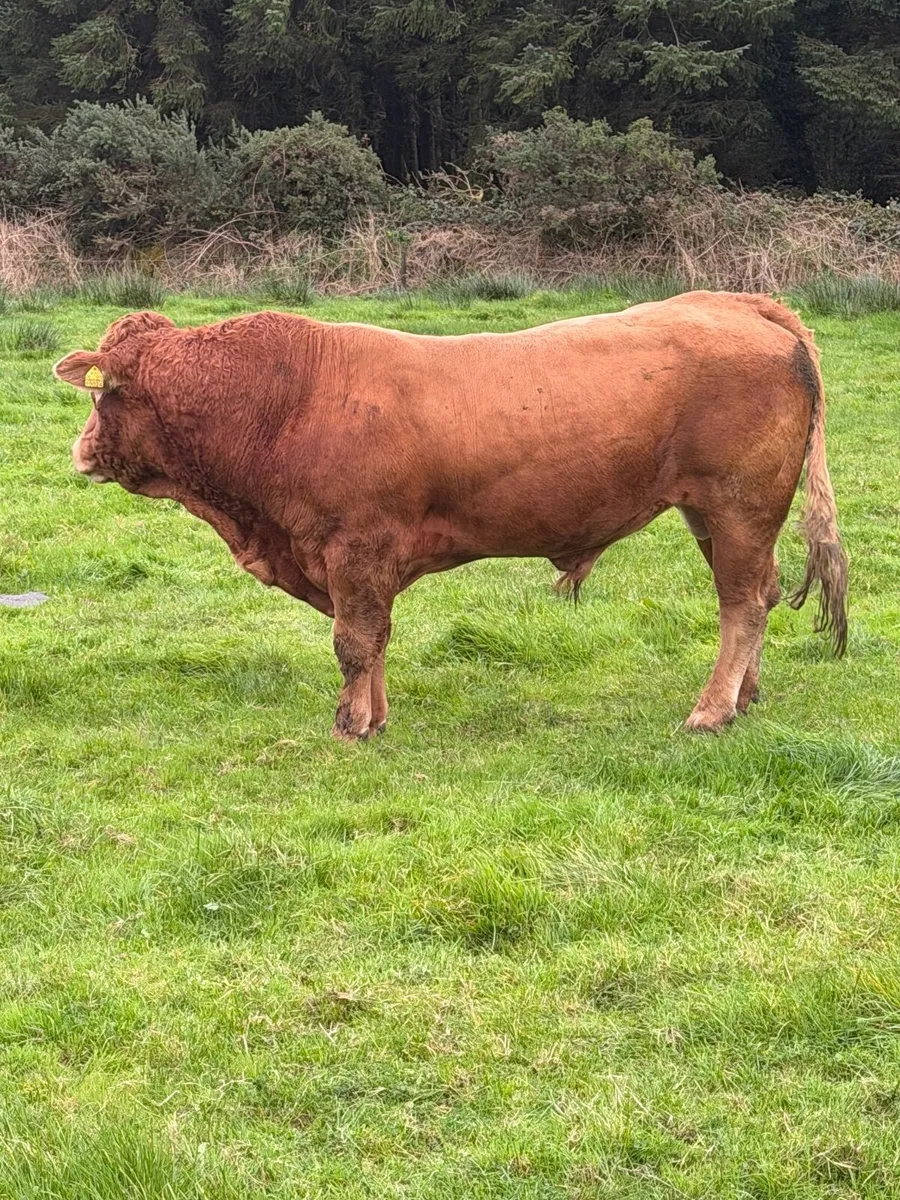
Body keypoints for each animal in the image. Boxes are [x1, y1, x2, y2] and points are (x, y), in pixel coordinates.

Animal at [53, 291, 848, 740]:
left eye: (103, 392)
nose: (79, 451)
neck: (284, 400)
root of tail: (736, 302)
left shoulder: (355, 547)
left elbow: (354, 642)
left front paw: (352, 724)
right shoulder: (362, 563)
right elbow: (375, 640)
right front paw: (375, 715)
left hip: (739, 505)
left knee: (741, 604)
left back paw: (711, 711)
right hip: (713, 517)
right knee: (759, 595)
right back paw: (745, 698)